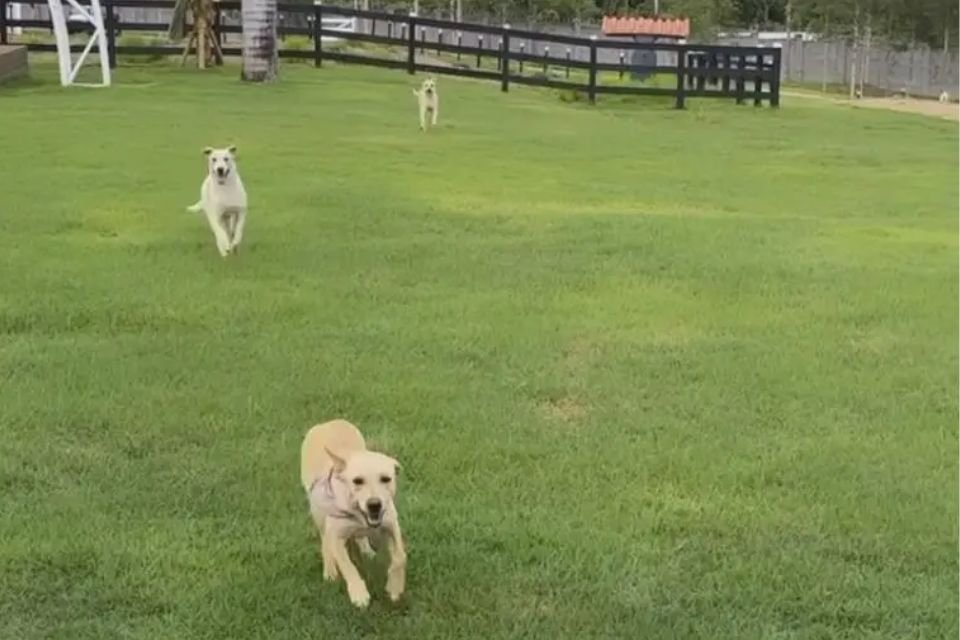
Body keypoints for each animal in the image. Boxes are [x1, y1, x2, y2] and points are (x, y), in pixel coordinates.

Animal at [300, 418, 404, 608]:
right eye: (357, 481)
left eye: (386, 479)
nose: (374, 504)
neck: (358, 514)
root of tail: (328, 422)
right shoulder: (336, 536)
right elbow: (347, 565)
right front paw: (359, 593)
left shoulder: (391, 524)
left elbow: (400, 557)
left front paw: (394, 588)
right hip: (317, 508)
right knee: (324, 539)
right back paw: (329, 570)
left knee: (359, 535)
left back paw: (366, 549)